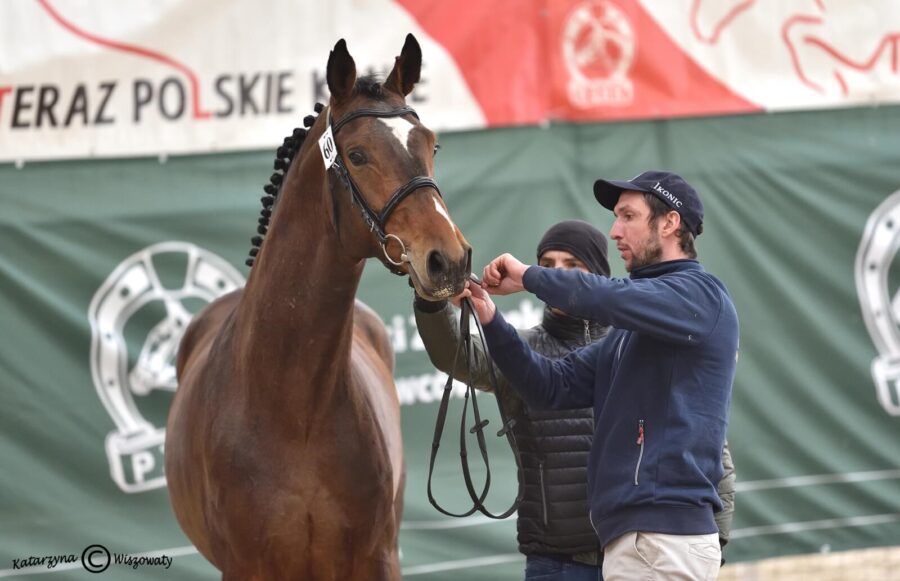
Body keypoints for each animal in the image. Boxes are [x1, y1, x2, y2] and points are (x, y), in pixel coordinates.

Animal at [166, 36, 472, 580]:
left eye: (431, 145)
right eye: (357, 154)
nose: (449, 261)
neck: (295, 408)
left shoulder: (378, 558)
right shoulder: (245, 566)